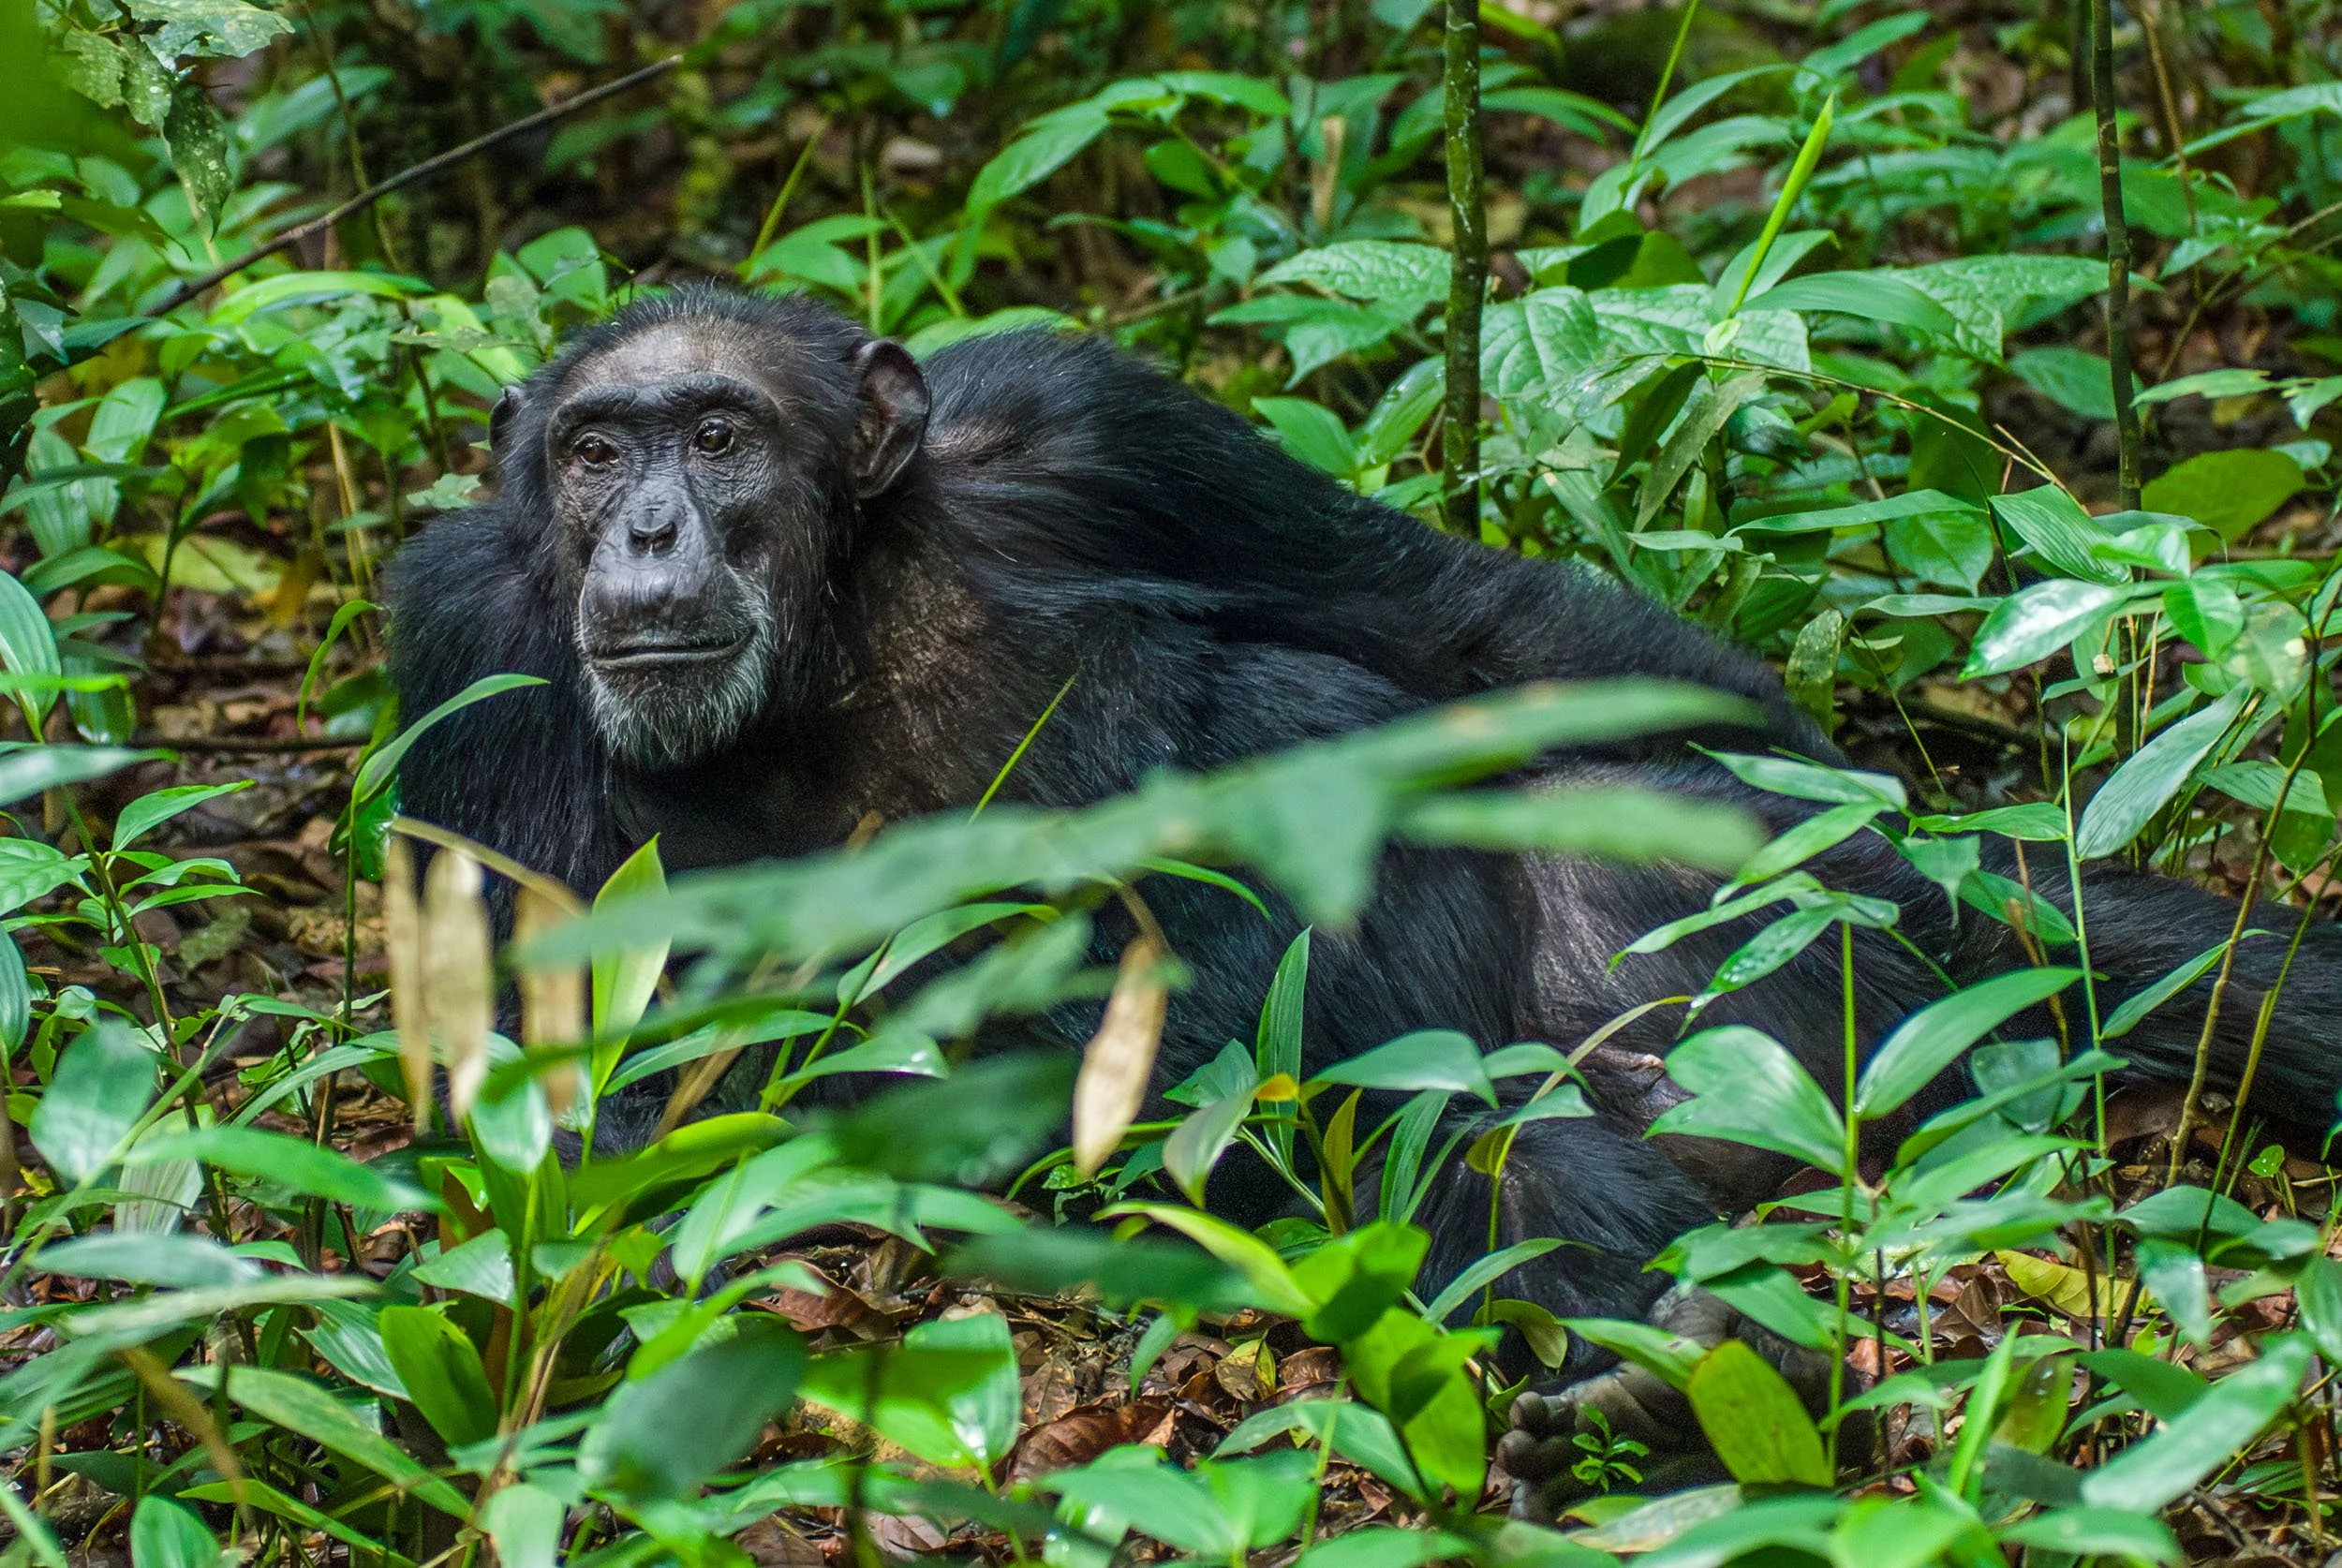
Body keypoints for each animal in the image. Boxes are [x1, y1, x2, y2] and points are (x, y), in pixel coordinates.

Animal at [388, 285, 2342, 1513]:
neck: (833, 628)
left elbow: (1450, 618)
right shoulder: (467, 645)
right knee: (1434, 1133)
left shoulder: (1099, 435)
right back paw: (1664, 1380)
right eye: (591, 452)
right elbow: (585, 1103)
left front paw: (1850, 824)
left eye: (719, 433)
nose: (647, 529)